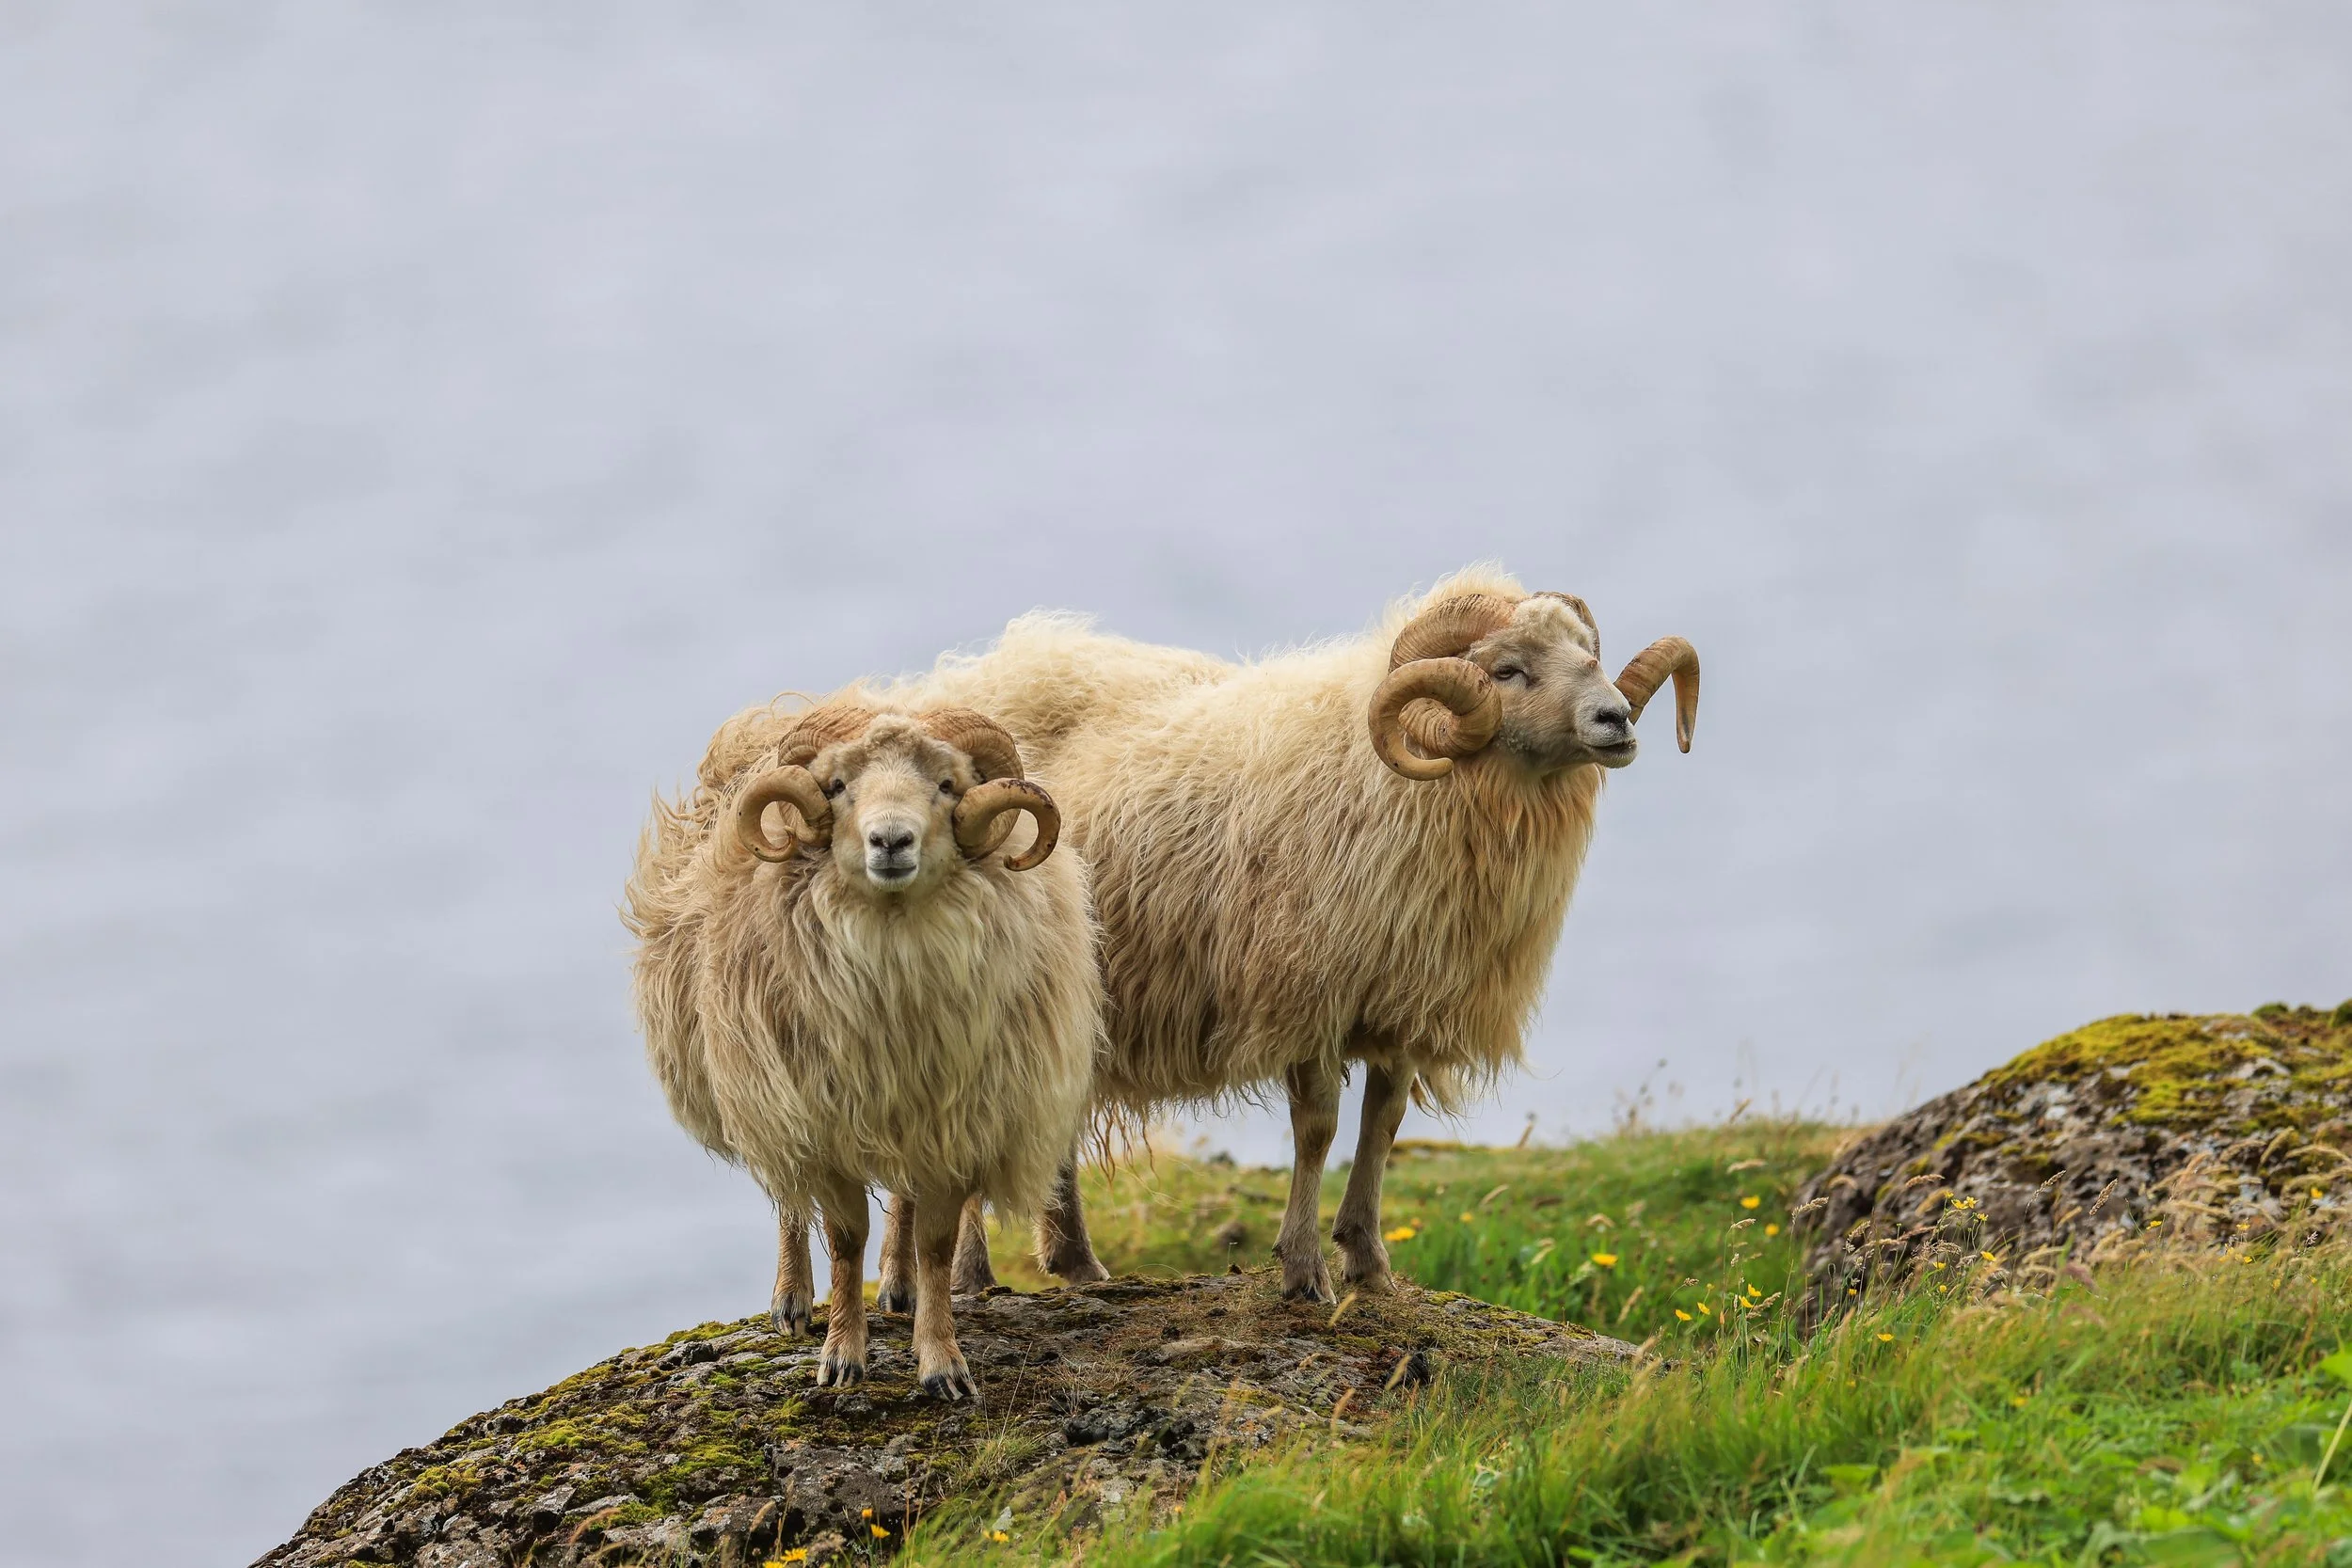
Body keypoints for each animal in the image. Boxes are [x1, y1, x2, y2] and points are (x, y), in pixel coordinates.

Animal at [623, 703, 1099, 1398]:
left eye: (948, 785)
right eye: (838, 785)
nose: (890, 840)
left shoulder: (954, 1125)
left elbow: (935, 1243)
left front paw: (942, 1361)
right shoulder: (819, 1125)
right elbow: (845, 1240)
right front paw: (842, 1357)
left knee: (901, 1202)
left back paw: (900, 1289)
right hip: (763, 1092)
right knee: (790, 1203)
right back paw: (792, 1300)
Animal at [868, 565, 1699, 1302]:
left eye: (1588, 653)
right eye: (1507, 669)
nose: (1617, 719)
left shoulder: (1401, 996)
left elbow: (1383, 1123)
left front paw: (1368, 1259)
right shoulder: (1306, 991)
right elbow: (1318, 1129)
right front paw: (1303, 1269)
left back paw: (1074, 1261)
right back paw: (962, 1275)